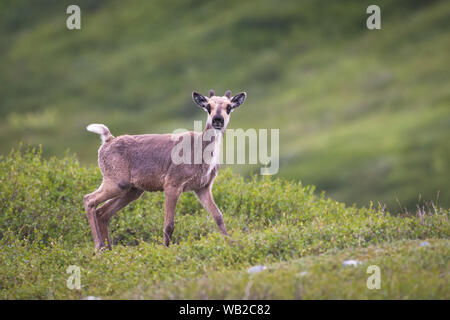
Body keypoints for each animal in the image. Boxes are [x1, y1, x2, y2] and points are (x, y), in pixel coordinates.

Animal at [84, 90, 246, 250]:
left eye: (229, 107)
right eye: (208, 106)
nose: (217, 120)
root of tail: (107, 140)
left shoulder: (203, 187)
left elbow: (218, 216)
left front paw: (231, 243)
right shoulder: (172, 184)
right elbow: (169, 225)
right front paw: (166, 250)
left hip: (133, 190)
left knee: (102, 212)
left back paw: (109, 249)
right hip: (117, 182)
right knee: (89, 199)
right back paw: (99, 247)